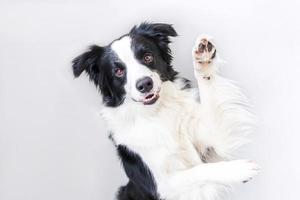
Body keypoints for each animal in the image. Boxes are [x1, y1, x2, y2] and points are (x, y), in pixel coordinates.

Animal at [71, 22, 258, 200]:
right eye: (118, 71)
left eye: (148, 57)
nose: (145, 84)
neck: (157, 112)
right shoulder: (163, 185)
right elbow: (198, 170)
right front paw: (239, 169)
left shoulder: (213, 139)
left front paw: (203, 59)